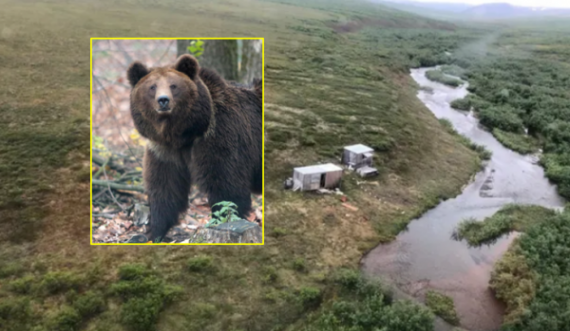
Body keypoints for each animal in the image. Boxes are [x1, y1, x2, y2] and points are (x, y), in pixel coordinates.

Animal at [126, 55, 262, 244]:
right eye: (152, 87)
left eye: (173, 85)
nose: (163, 100)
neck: (184, 135)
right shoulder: (164, 152)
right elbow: (165, 190)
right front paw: (152, 233)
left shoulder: (219, 139)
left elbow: (227, 190)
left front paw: (219, 223)